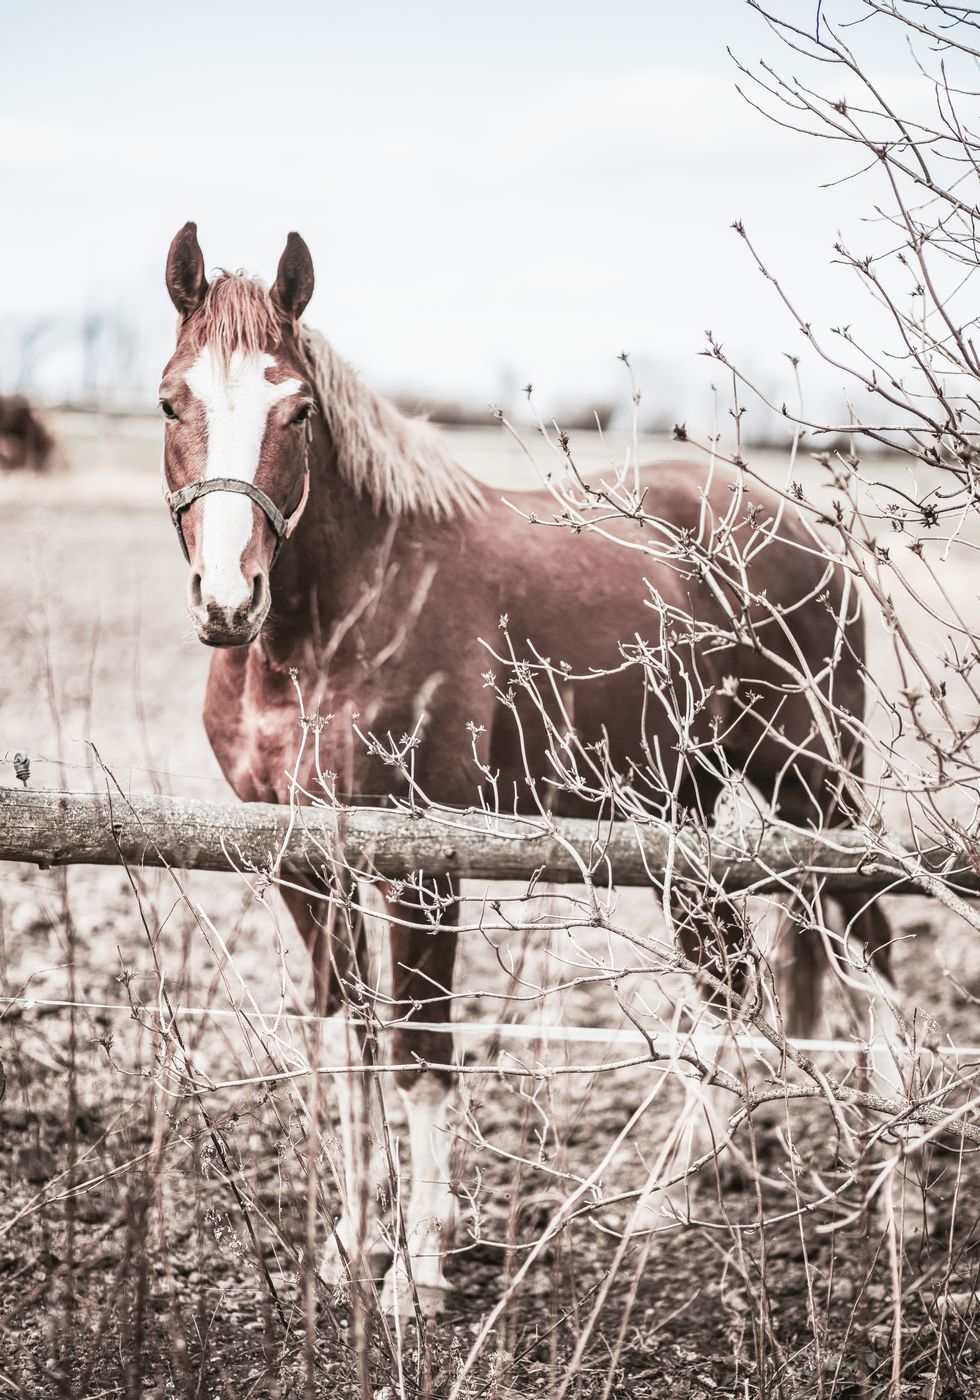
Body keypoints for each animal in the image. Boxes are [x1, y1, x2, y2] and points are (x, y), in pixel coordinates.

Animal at [159, 222, 898, 1316]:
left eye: (297, 409)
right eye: (173, 400)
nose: (226, 598)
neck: (328, 625)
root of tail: (798, 530)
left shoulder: (422, 864)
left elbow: (419, 1051)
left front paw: (417, 1270)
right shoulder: (298, 859)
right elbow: (346, 1044)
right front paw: (346, 1246)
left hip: (814, 785)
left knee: (871, 953)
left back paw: (899, 1199)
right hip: (676, 818)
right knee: (728, 983)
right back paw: (663, 1204)